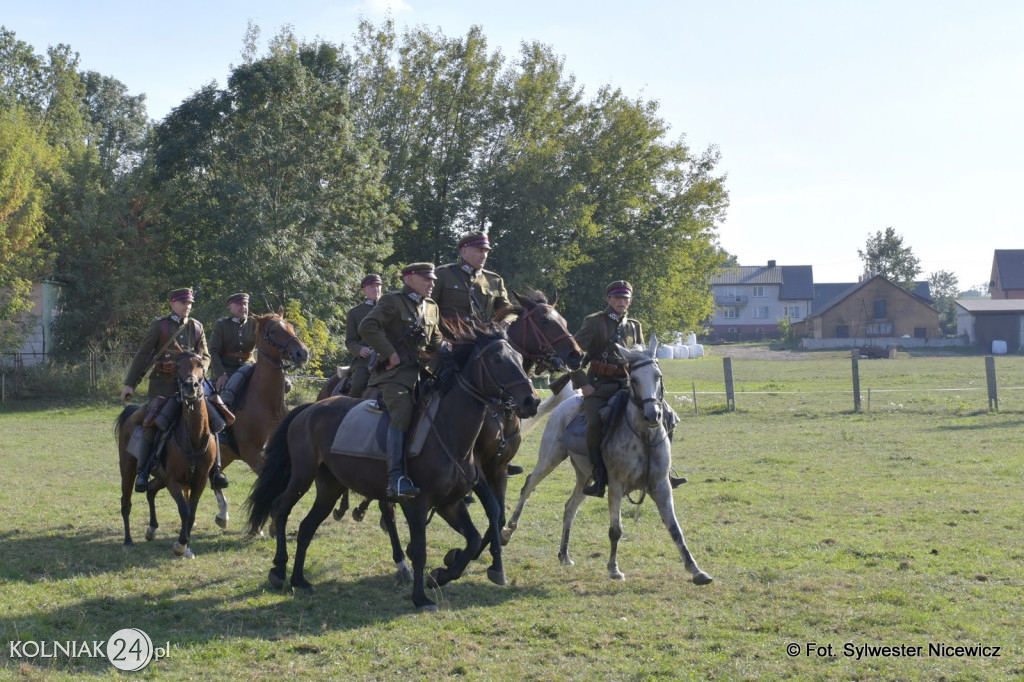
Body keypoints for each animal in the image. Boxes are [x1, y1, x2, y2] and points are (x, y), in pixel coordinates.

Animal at [116, 352, 216, 557]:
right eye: (178, 366)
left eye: (200, 364)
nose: (190, 386)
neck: (193, 440)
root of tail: (132, 411)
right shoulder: (173, 481)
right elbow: (184, 510)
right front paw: (181, 545)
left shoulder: (200, 481)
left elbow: (192, 512)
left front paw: (186, 546)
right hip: (128, 470)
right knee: (126, 502)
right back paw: (128, 540)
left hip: (160, 477)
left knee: (151, 490)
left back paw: (151, 529)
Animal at [210, 311, 307, 528]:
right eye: (274, 330)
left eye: (290, 326)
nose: (302, 353)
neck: (267, 403)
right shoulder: (252, 453)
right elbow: (267, 481)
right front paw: (262, 524)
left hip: (225, 455)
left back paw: (222, 514)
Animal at [246, 325, 540, 610]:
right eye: (498, 359)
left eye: (519, 358)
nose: (532, 401)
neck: (447, 431)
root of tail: (309, 409)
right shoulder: (417, 504)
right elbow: (420, 550)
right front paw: (421, 598)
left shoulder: (450, 504)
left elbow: (474, 539)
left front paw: (441, 575)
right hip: (302, 476)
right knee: (280, 508)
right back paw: (279, 570)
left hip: (330, 487)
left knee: (307, 527)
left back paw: (299, 579)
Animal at [501, 337, 712, 581]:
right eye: (634, 379)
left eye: (658, 376)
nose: (653, 415)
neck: (643, 436)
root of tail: (570, 400)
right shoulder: (616, 485)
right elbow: (616, 529)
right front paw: (613, 568)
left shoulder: (661, 486)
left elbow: (675, 528)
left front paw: (696, 570)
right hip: (550, 459)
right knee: (528, 486)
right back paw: (507, 531)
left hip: (585, 477)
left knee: (570, 507)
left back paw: (564, 554)